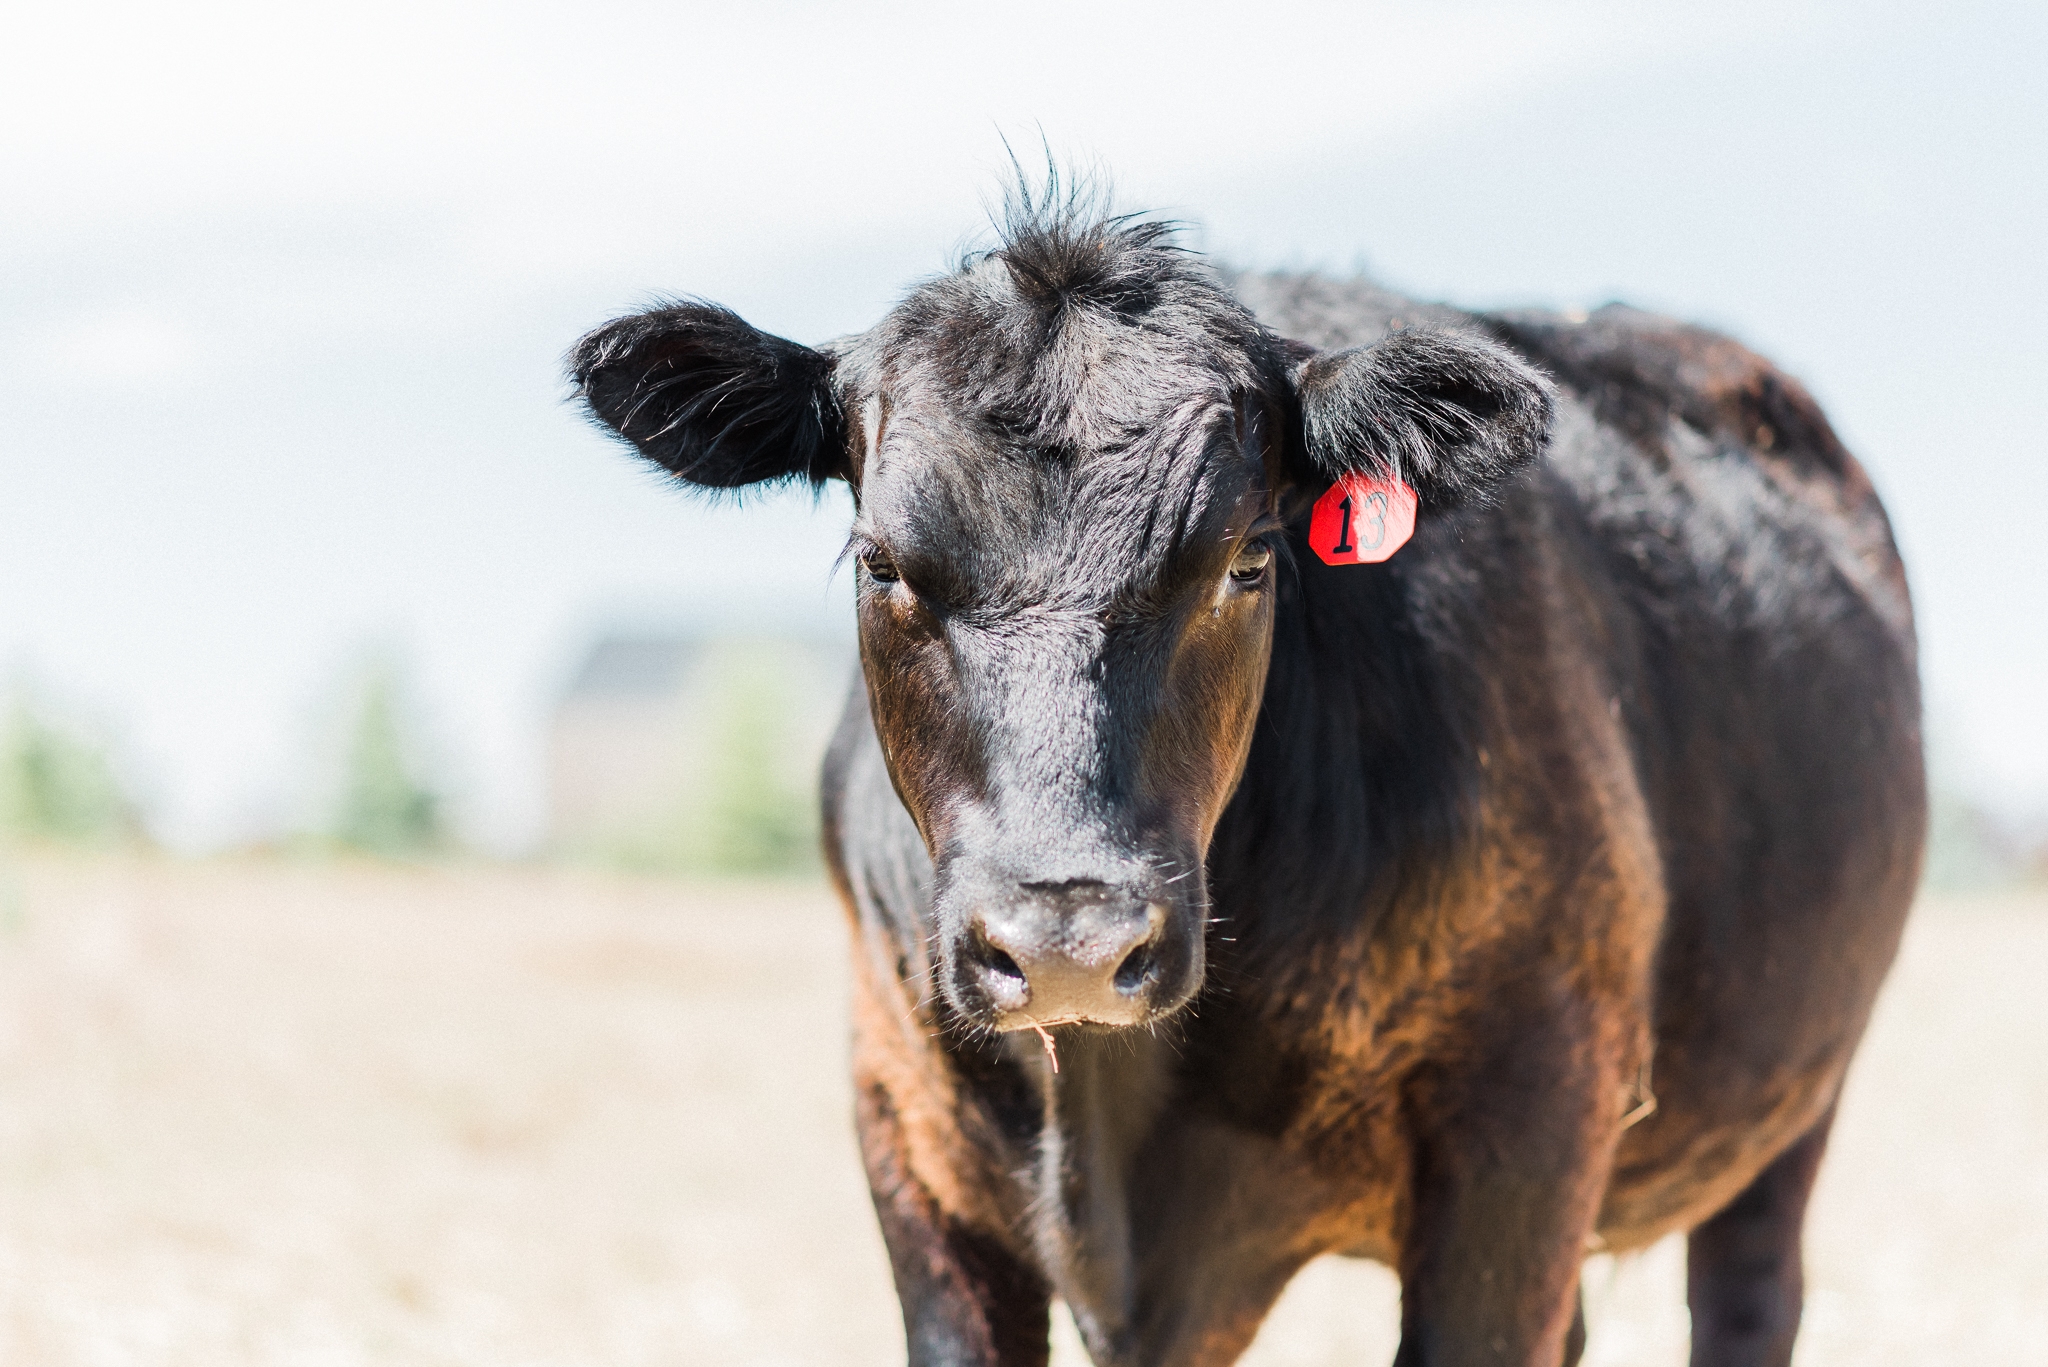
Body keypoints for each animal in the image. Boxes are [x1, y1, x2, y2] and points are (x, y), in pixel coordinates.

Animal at [573, 184, 1916, 1367]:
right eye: (881, 563)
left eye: (1246, 558)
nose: (1067, 943)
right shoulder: (906, 1128)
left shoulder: (1527, 1122)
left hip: (1787, 1111)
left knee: (1749, 1293)